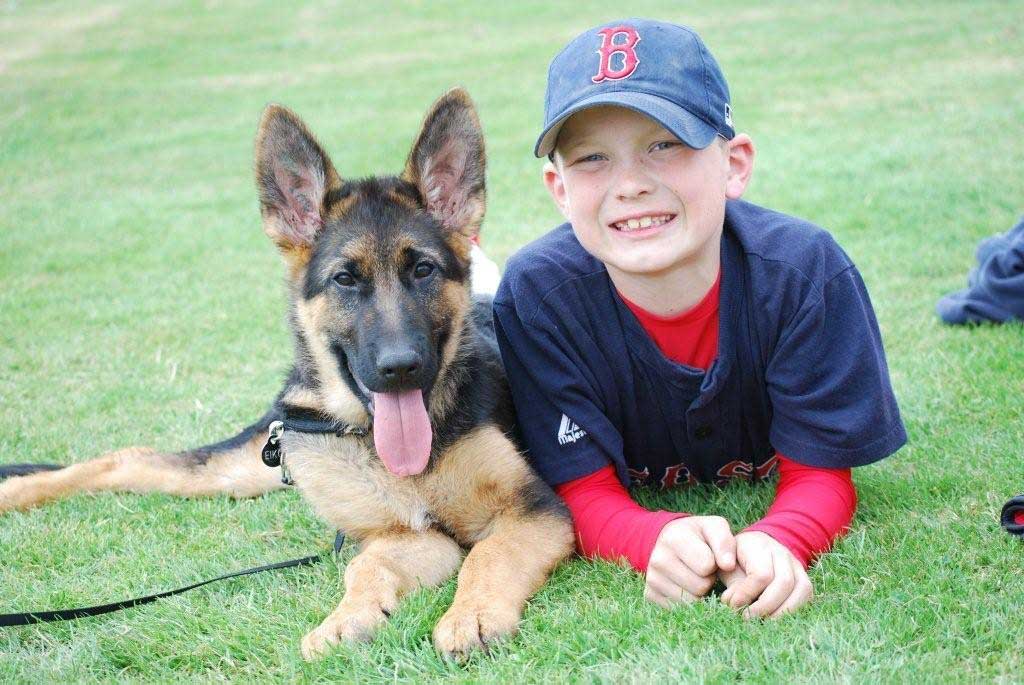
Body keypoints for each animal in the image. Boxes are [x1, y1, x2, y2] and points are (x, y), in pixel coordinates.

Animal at [0, 88, 577, 659]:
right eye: (345, 279)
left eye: (423, 270)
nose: (399, 369)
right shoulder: (403, 534)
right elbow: (365, 568)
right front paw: (347, 620)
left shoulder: (529, 513)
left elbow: (484, 556)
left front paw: (470, 616)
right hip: (248, 463)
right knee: (130, 459)